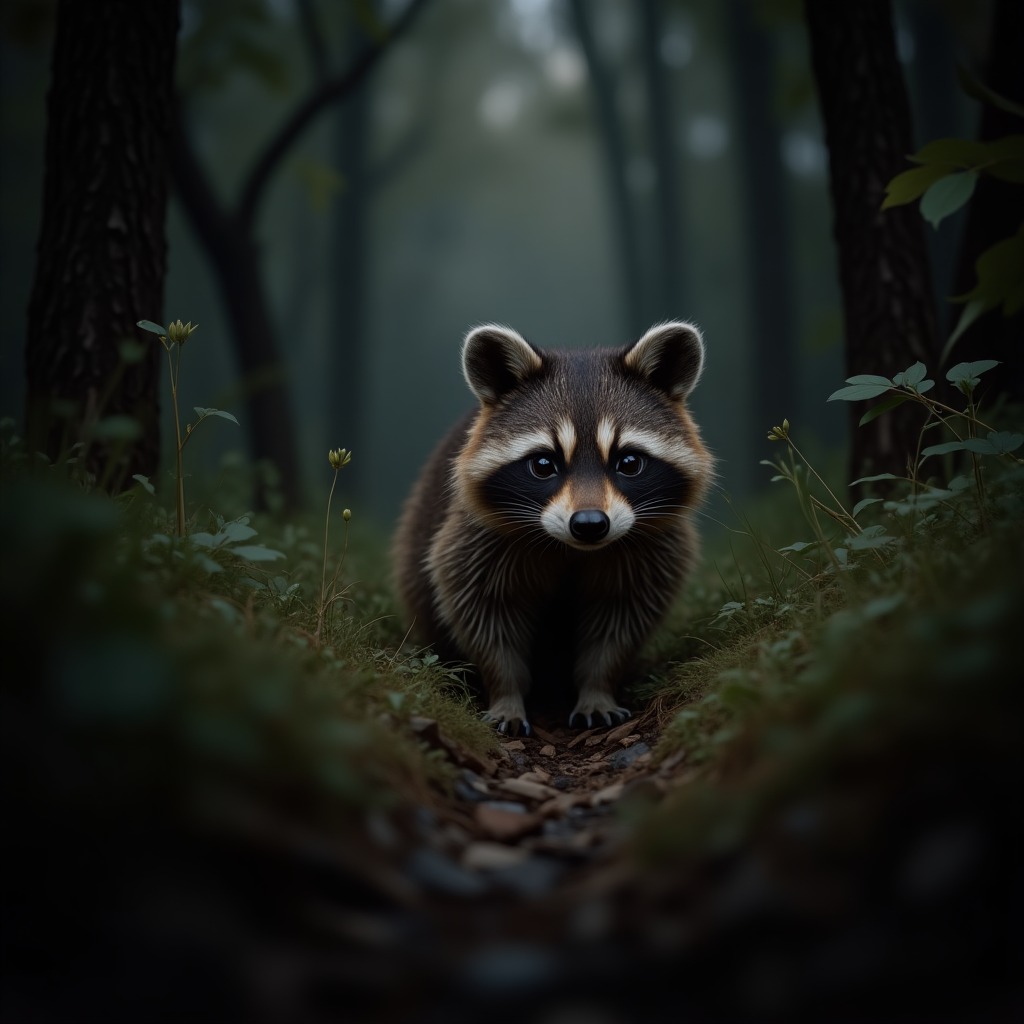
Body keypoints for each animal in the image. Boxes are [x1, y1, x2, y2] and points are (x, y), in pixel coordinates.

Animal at [392, 321, 713, 735]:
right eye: (544, 464)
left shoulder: (652, 550)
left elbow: (618, 622)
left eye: (628, 462)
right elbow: (487, 616)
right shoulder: (475, 542)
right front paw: (506, 694)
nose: (590, 525)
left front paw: (597, 688)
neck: (573, 549)